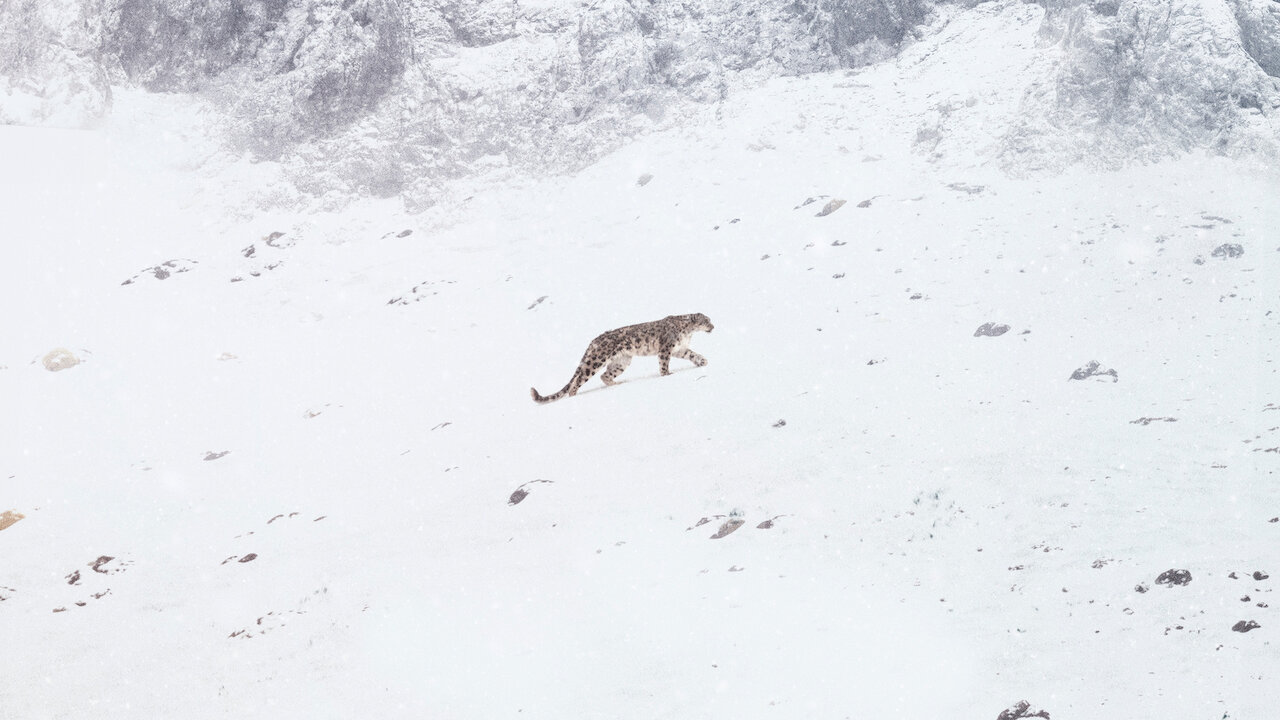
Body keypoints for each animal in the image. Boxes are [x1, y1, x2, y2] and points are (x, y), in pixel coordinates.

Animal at [527, 312, 716, 404]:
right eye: (706, 321)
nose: (713, 327)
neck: (688, 332)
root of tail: (594, 340)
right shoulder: (666, 348)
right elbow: (664, 364)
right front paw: (667, 375)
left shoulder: (679, 349)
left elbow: (692, 354)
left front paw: (702, 361)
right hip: (596, 361)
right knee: (579, 378)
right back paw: (574, 395)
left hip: (622, 362)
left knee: (605, 375)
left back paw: (617, 384)